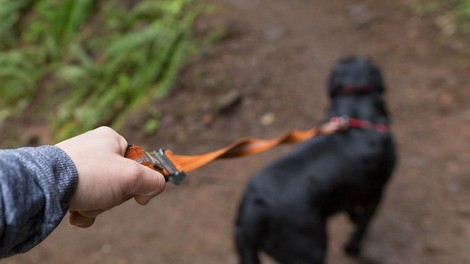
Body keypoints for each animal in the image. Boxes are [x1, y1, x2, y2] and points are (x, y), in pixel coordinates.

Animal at [235, 56, 396, 262]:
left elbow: (351, 208)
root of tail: (255, 208)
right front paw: (353, 248)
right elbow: (362, 226)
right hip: (309, 250)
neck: (357, 113)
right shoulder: (378, 192)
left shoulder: (352, 190)